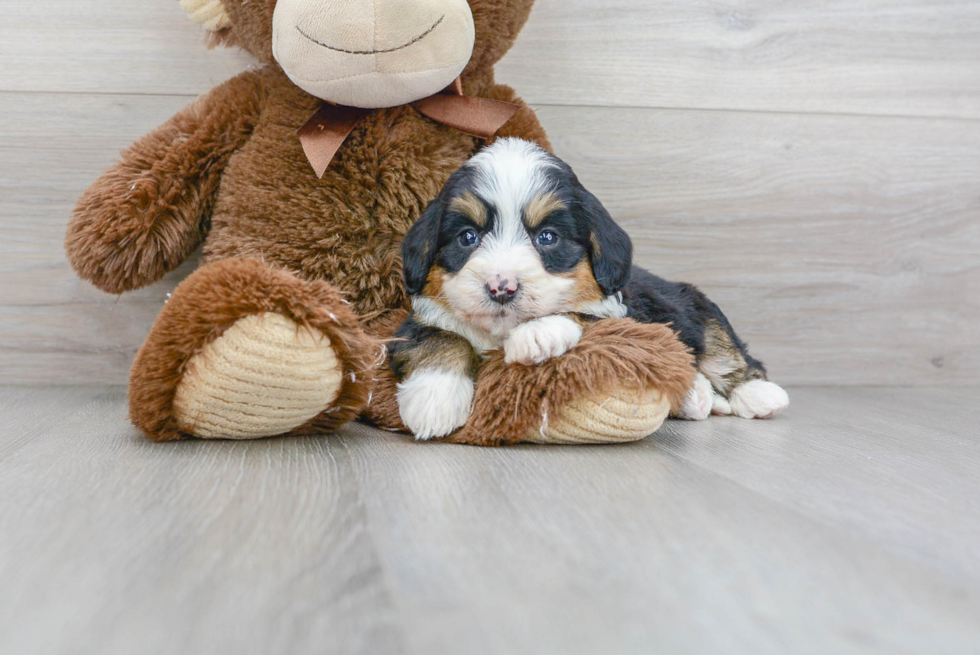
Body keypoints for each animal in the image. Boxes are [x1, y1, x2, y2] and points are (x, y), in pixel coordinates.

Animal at [390, 137, 788, 440]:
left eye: (547, 237)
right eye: (468, 237)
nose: (501, 287)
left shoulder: (629, 320)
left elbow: (583, 315)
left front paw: (537, 334)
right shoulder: (412, 326)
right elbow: (441, 338)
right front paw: (434, 397)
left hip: (700, 310)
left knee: (731, 357)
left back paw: (757, 394)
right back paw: (699, 398)